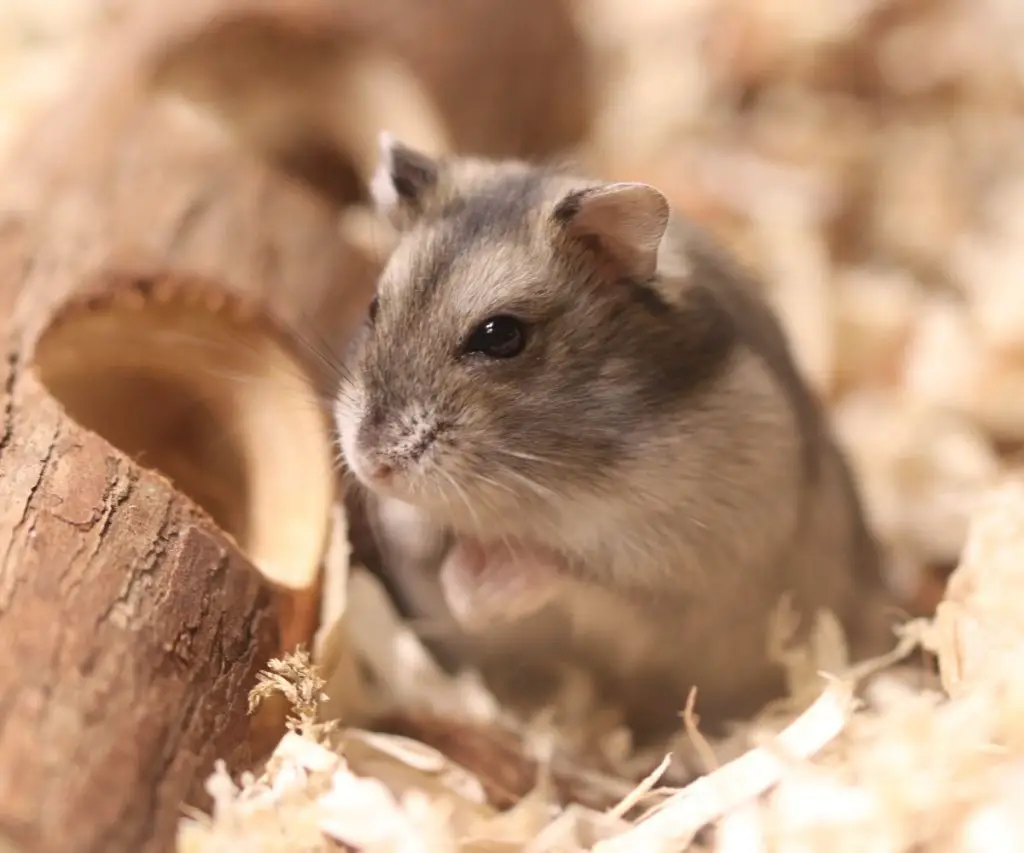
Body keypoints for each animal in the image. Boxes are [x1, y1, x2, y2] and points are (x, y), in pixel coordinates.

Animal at [337, 133, 897, 737]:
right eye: (373, 307)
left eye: (500, 335)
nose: (372, 465)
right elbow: (422, 538)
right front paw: (451, 567)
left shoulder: (670, 559)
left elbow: (565, 568)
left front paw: (475, 587)